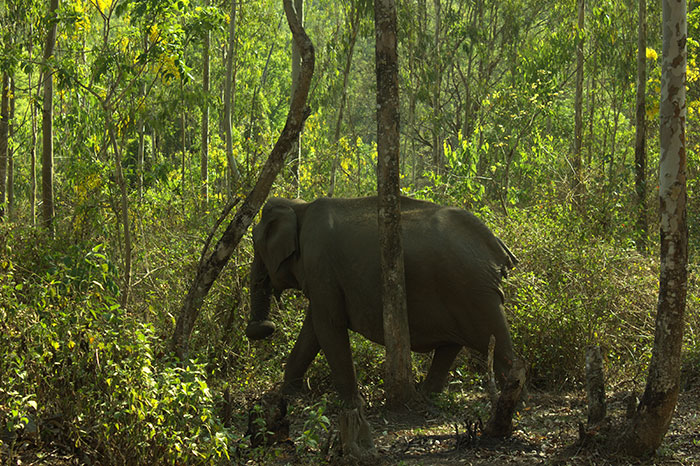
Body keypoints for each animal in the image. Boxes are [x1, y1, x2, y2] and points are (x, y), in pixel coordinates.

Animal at [245, 196, 516, 408]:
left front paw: (353, 405)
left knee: (497, 343)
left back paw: (513, 401)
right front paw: (288, 395)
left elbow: (328, 326)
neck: (300, 206)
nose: (263, 328)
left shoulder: (319, 265)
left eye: (256, 243)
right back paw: (427, 397)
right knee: (452, 346)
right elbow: (313, 329)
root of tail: (497, 246)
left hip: (476, 291)